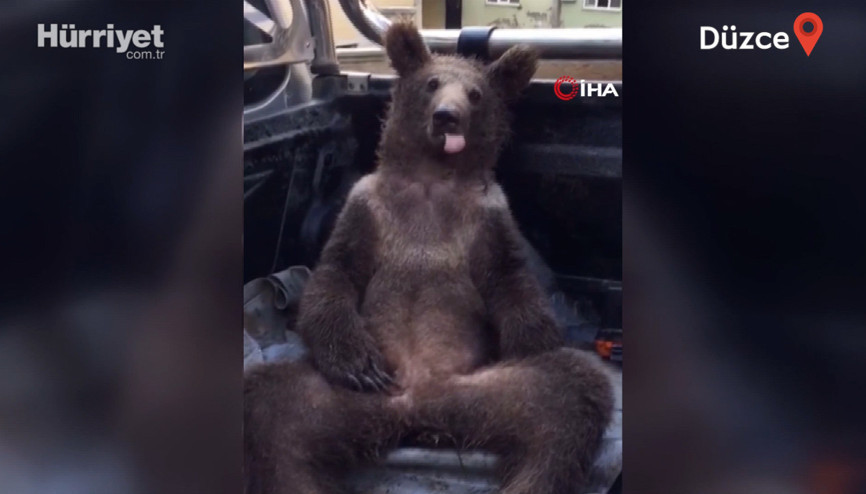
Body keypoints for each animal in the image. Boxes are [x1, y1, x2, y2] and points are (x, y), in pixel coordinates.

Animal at [244, 22, 615, 494]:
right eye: (432, 83)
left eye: (475, 93)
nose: (446, 116)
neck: (432, 179)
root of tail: (416, 415)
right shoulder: (367, 208)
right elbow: (335, 275)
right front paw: (358, 362)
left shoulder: (488, 218)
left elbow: (511, 281)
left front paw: (529, 342)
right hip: (338, 402)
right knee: (273, 415)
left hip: (487, 395)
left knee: (567, 403)